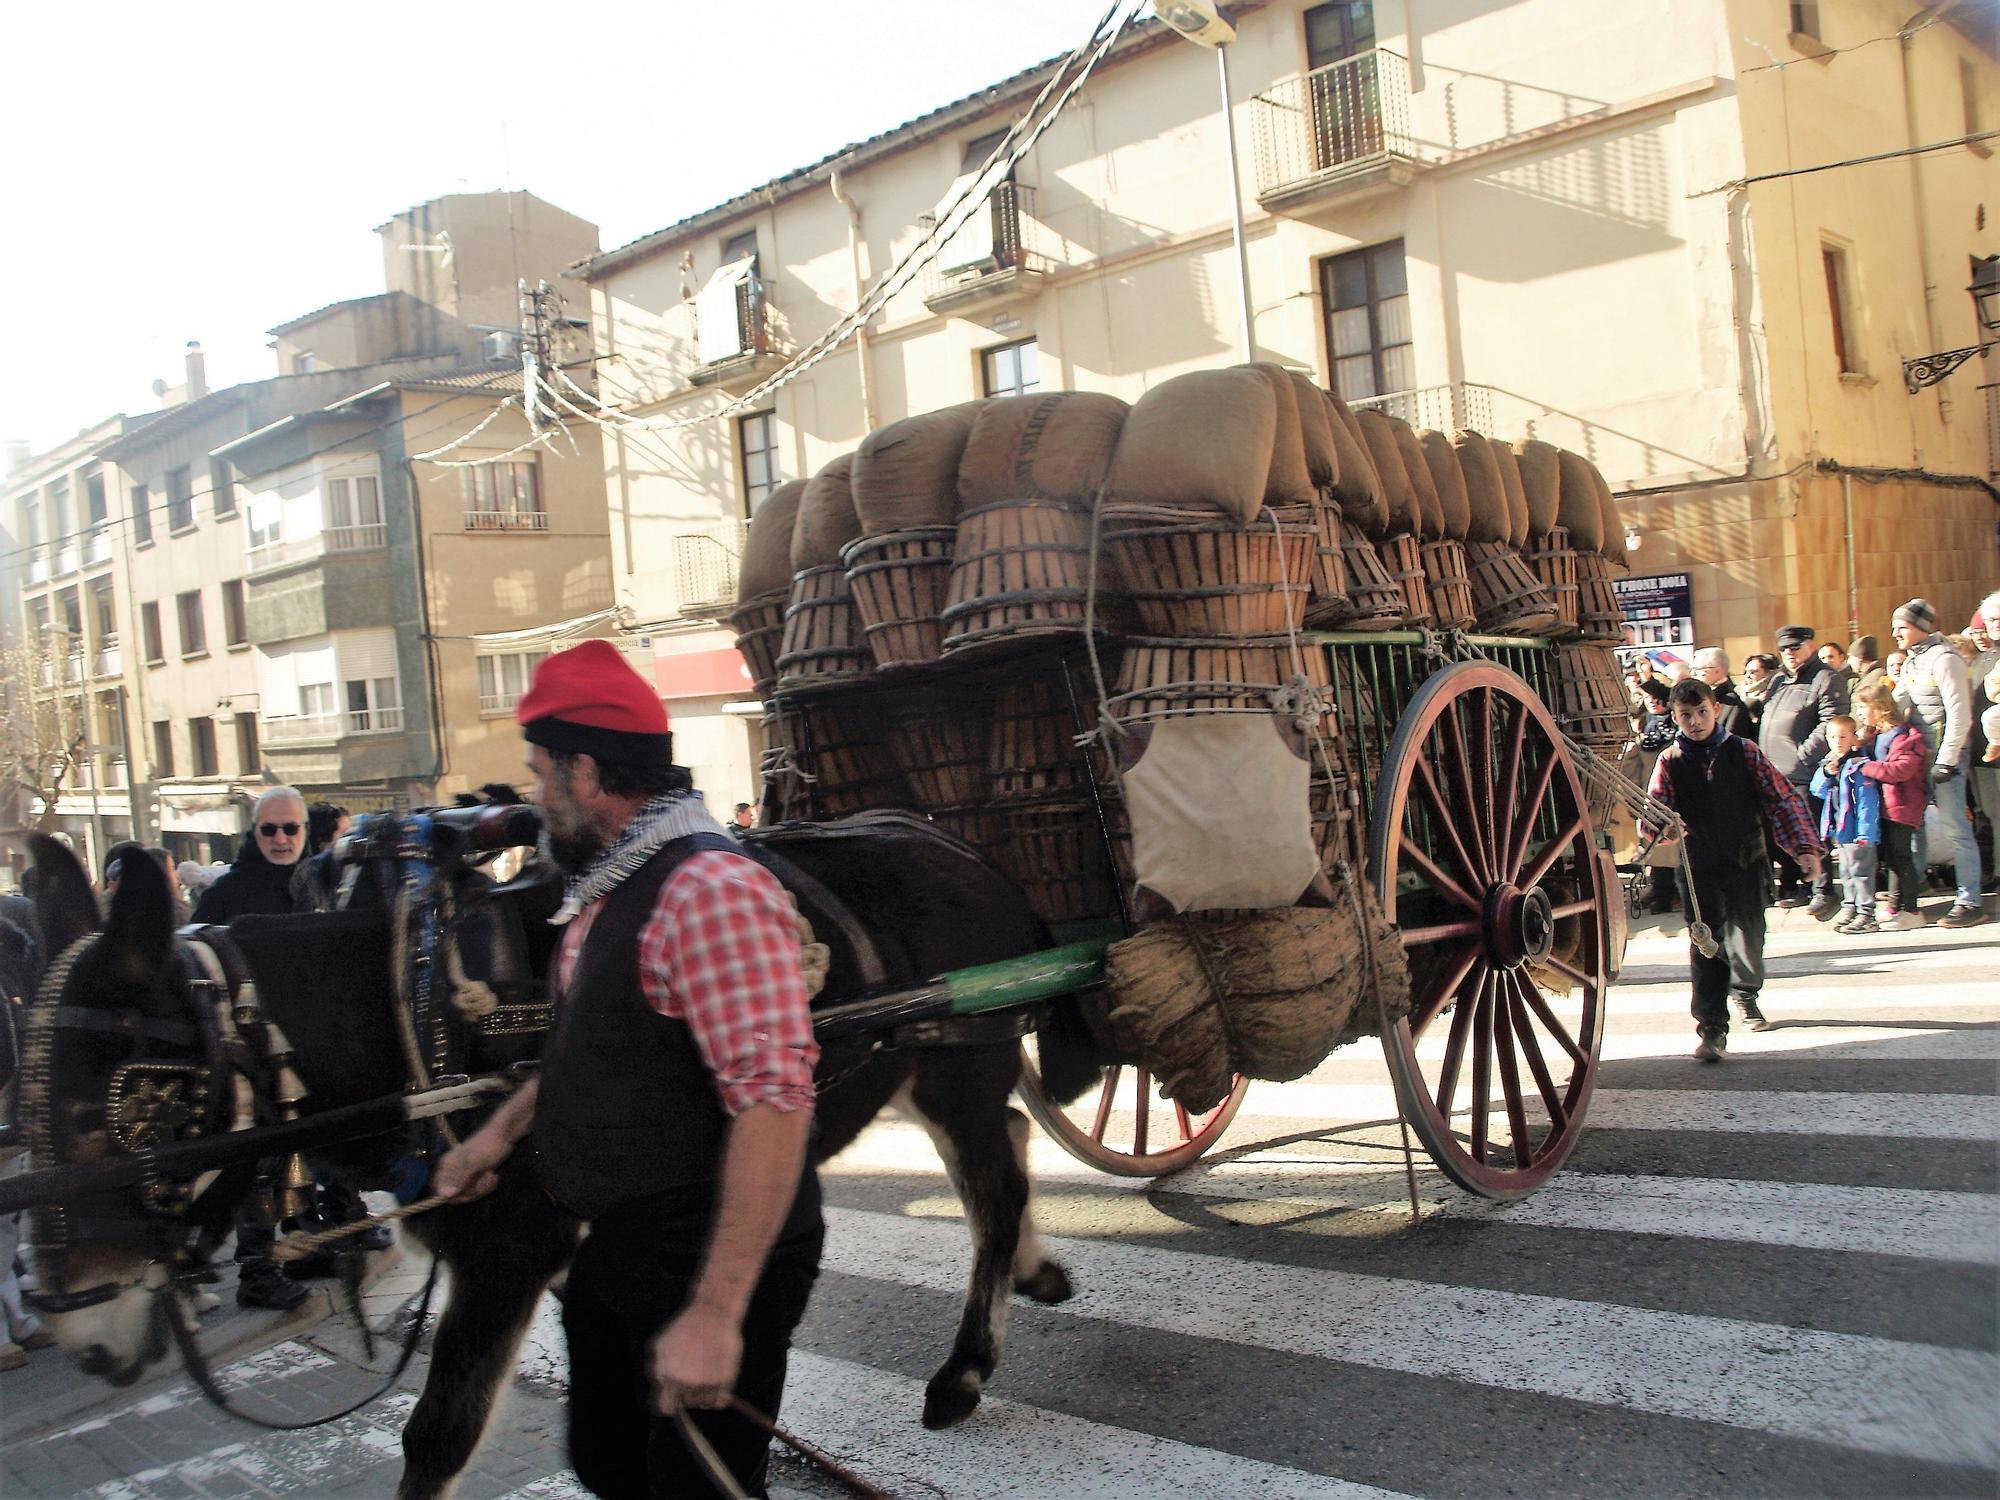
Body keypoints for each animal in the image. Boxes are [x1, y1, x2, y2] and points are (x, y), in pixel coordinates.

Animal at [15, 816, 1096, 1496]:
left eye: (116, 1113)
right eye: (27, 1116)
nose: (77, 1326)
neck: (407, 1011)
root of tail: (960, 845)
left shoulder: (509, 1248)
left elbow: (438, 1433)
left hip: (958, 1060)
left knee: (996, 1183)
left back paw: (964, 1370)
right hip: (923, 1062)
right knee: (1001, 1149)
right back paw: (1036, 1270)